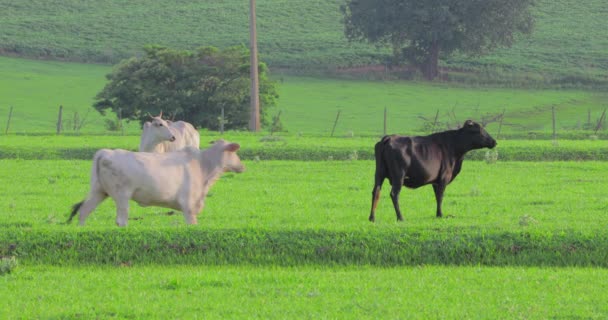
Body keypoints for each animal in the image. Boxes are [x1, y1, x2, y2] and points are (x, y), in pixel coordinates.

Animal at [68, 139, 245, 226]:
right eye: (235, 152)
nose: (242, 166)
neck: (203, 165)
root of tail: (106, 152)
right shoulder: (188, 205)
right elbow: (192, 224)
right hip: (122, 195)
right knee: (121, 220)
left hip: (99, 191)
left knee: (83, 211)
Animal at [368, 120, 496, 222]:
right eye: (479, 130)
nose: (494, 141)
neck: (453, 147)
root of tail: (389, 137)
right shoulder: (444, 177)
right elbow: (440, 196)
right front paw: (440, 214)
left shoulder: (435, 181)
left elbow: (436, 196)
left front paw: (438, 214)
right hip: (398, 176)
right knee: (394, 194)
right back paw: (400, 217)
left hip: (379, 173)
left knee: (376, 192)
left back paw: (372, 218)